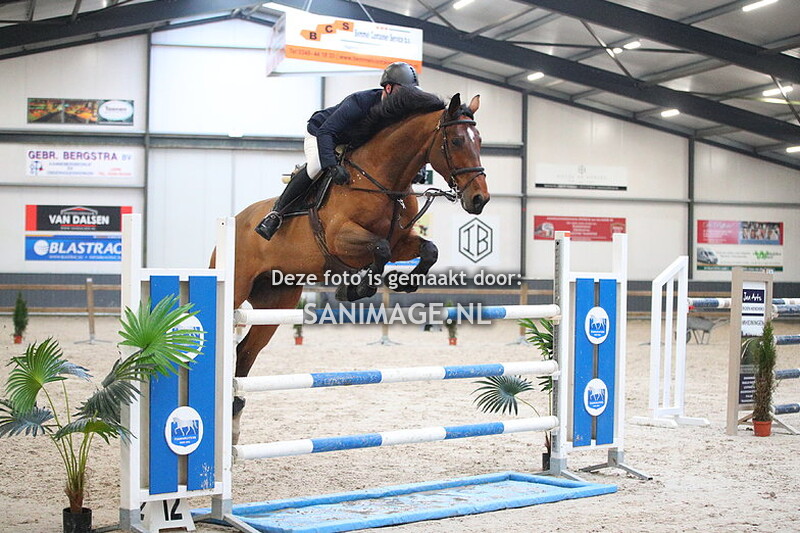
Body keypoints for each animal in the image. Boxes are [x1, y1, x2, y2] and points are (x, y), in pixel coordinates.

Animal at [211, 88, 489, 441]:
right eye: (455, 141)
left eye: (479, 140)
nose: (480, 199)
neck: (383, 178)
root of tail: (234, 222)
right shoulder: (341, 238)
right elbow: (380, 248)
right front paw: (357, 289)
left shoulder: (402, 240)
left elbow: (428, 250)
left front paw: (404, 283)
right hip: (236, 288)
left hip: (277, 300)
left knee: (246, 351)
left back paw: (234, 417)